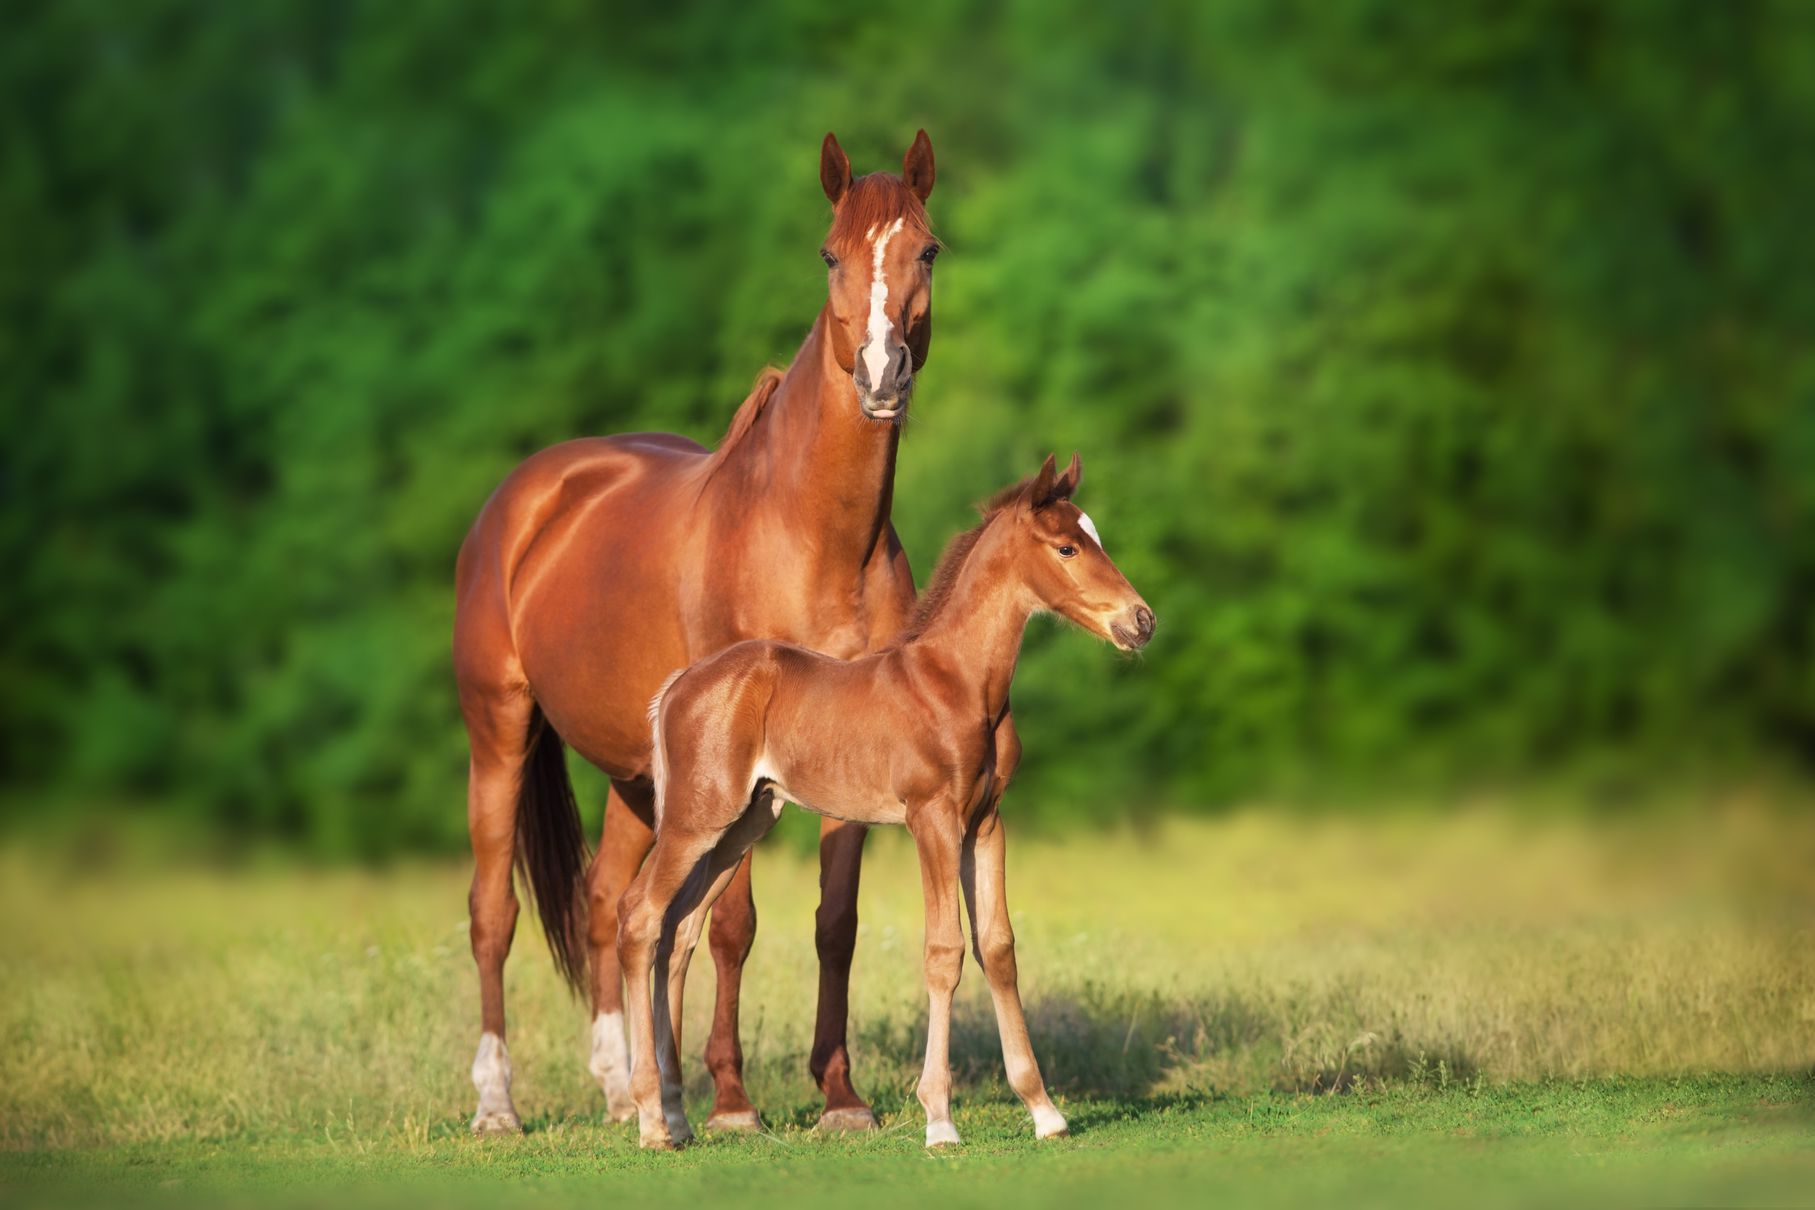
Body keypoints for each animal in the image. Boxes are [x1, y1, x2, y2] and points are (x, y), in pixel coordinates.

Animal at [451, 132, 943, 1139]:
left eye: (928, 250)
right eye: (829, 255)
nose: (881, 376)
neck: (809, 534)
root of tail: (527, 497)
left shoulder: (846, 743)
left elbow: (833, 924)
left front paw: (839, 1097)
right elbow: (730, 924)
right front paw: (730, 1100)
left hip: (638, 778)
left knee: (606, 904)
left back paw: (618, 1087)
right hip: (500, 731)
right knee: (492, 913)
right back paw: (497, 1104)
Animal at [620, 453, 1147, 1146]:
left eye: (1096, 537)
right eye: (1067, 547)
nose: (1141, 621)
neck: (958, 682)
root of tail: (678, 685)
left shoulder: (986, 823)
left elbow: (998, 949)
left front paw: (1045, 1111)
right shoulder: (932, 818)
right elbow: (944, 951)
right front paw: (939, 1119)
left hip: (741, 826)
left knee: (678, 931)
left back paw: (679, 1116)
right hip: (694, 820)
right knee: (640, 917)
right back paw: (651, 1118)